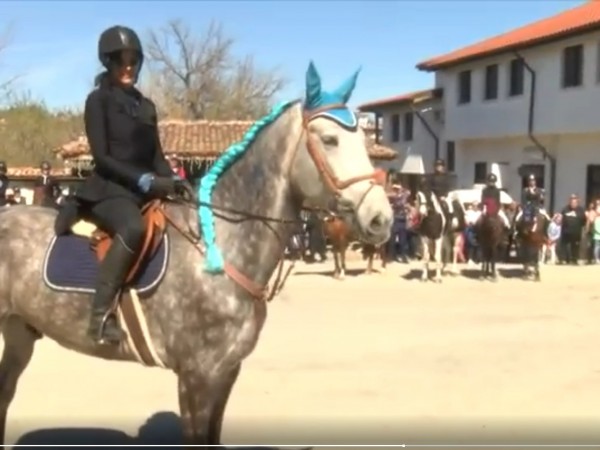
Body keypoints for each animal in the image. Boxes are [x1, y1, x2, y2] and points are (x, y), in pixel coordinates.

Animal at [0, 61, 392, 444]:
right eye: (329, 140)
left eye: (364, 139)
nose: (380, 219)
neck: (218, 250)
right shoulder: (197, 375)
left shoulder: (225, 372)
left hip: (19, 332)